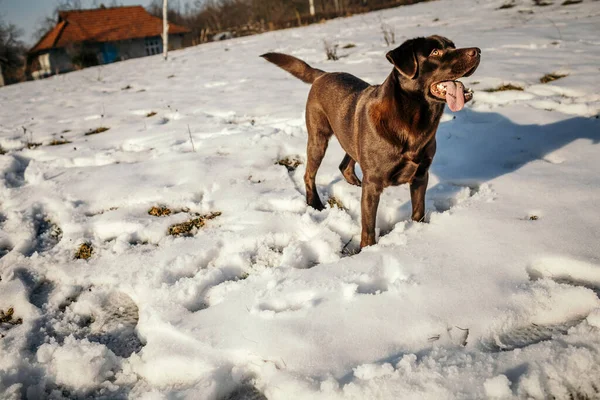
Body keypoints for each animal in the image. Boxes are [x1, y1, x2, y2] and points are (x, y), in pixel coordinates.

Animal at [260, 35, 480, 247]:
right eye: (435, 52)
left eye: (453, 46)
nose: (477, 51)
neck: (412, 121)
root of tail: (322, 74)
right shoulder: (374, 183)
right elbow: (368, 225)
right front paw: (367, 250)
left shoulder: (420, 175)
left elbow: (418, 210)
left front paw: (419, 231)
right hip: (318, 139)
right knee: (309, 174)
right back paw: (315, 203)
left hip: (349, 134)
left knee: (345, 164)